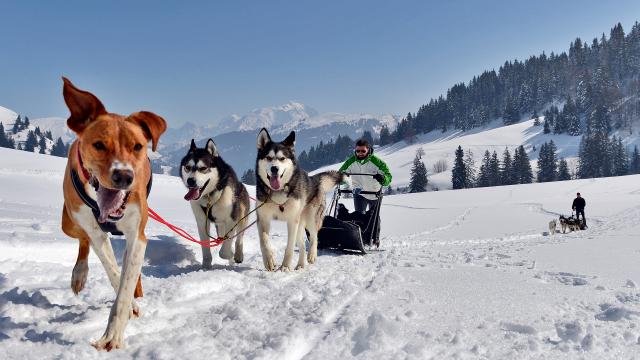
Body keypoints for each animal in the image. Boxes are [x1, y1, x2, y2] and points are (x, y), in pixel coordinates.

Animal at [60, 77, 168, 350]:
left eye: (138, 146)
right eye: (99, 145)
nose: (124, 176)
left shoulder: (137, 235)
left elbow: (125, 284)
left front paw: (112, 335)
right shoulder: (95, 231)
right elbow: (114, 271)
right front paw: (130, 307)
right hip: (68, 221)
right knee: (82, 239)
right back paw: (79, 273)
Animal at [181, 139, 251, 268]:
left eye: (203, 168)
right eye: (187, 167)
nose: (190, 181)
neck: (209, 199)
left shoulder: (232, 220)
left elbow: (224, 251)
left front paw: (230, 254)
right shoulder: (202, 222)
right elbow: (205, 247)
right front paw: (206, 266)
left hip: (241, 218)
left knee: (239, 238)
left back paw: (237, 255)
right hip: (220, 226)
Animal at [254, 128, 344, 272]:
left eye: (282, 158)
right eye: (268, 157)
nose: (274, 168)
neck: (279, 192)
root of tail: (314, 180)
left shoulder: (292, 221)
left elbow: (290, 247)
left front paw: (285, 266)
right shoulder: (263, 218)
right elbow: (264, 241)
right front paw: (269, 260)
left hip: (310, 218)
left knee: (314, 236)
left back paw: (312, 255)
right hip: (300, 224)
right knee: (301, 245)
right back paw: (301, 264)